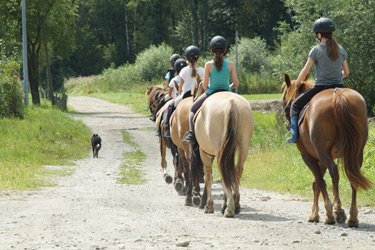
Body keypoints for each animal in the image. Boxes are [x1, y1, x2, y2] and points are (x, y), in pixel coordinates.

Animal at [191, 82, 256, 217]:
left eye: (195, 90)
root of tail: (232, 102)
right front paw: (225, 203)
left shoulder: (204, 153)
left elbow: (209, 178)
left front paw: (209, 206)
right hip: (243, 146)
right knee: (237, 170)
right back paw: (236, 205)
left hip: (218, 150)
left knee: (222, 172)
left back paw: (229, 208)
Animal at [284, 73, 372, 227]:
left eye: (284, 100)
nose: (287, 123)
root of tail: (338, 96)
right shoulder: (321, 158)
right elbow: (316, 184)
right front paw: (315, 213)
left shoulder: (309, 156)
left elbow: (319, 182)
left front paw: (324, 213)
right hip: (356, 153)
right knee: (353, 176)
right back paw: (353, 217)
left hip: (322, 152)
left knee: (334, 171)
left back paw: (336, 209)